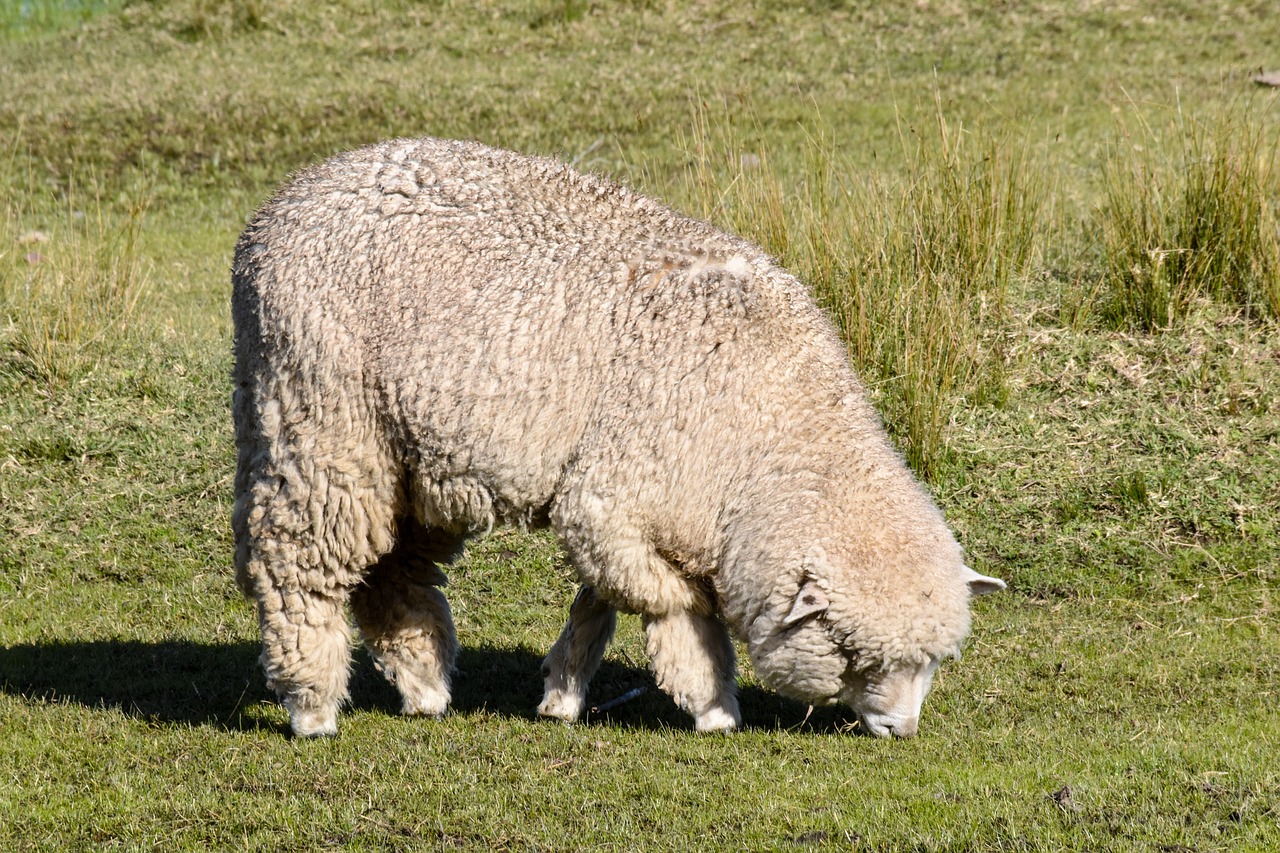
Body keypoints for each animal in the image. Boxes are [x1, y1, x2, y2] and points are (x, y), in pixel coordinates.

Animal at [232, 137, 1008, 737]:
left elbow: (597, 601)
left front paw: (562, 691)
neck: (766, 435)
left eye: (934, 660)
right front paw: (713, 704)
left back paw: (423, 686)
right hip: (318, 418)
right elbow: (677, 606)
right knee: (293, 561)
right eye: (853, 653)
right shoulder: (617, 497)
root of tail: (283, 203)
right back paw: (312, 706)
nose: (902, 729)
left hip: (409, 453)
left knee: (392, 568)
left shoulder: (622, 505)